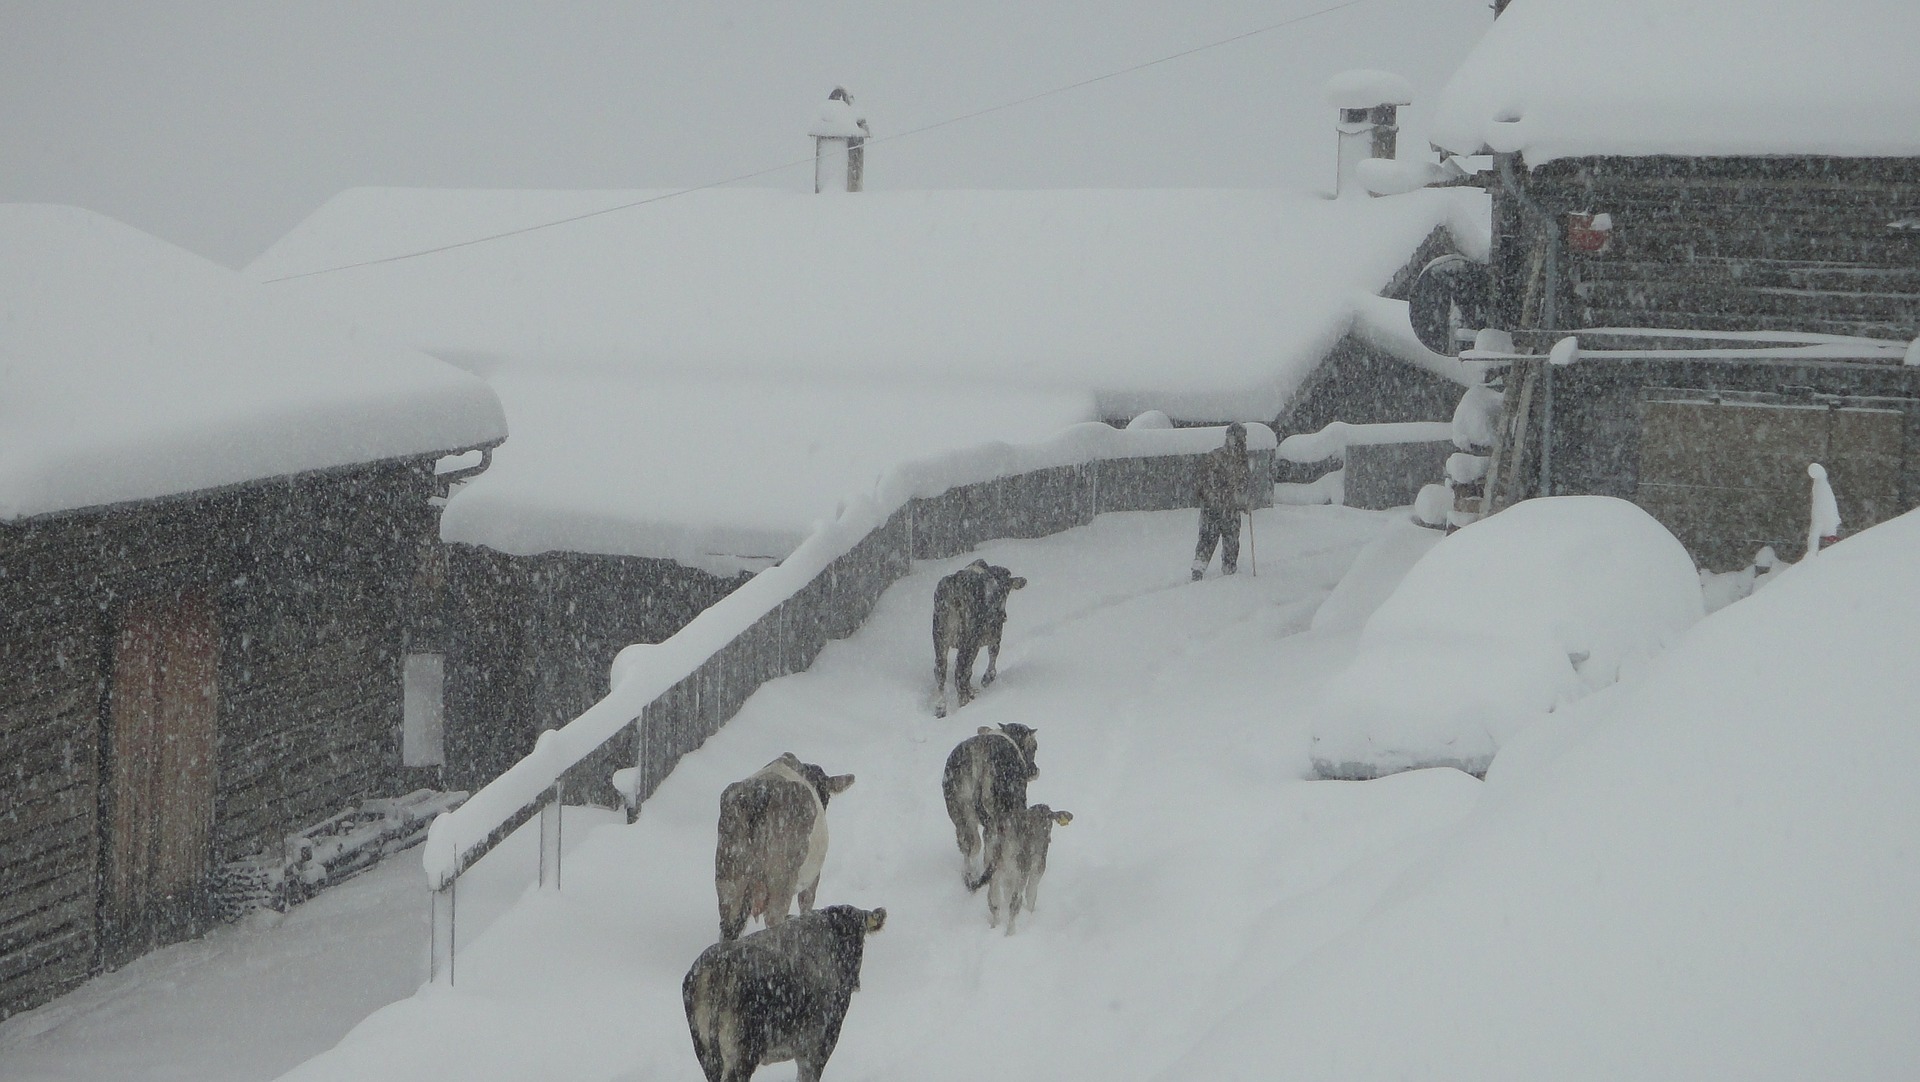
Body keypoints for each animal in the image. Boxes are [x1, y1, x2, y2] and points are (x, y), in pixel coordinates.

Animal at [683, 905, 883, 1082]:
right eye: (859, 937)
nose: (855, 982)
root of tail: (719, 964)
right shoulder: (818, 1046)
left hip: (706, 1054)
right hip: (742, 1056)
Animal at [721, 755, 856, 943]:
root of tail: (760, 795)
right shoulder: (812, 877)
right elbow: (806, 903)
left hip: (729, 877)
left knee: (728, 927)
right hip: (780, 879)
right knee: (774, 920)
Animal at [925, 556, 1021, 717]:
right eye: (1005, 591)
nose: (1004, 616)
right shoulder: (992, 636)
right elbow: (991, 657)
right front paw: (985, 680)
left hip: (939, 638)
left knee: (940, 670)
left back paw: (941, 708)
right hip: (968, 640)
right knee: (959, 671)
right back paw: (964, 701)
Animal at [940, 721, 1044, 890]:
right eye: (1034, 747)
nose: (1035, 771)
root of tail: (979, 758)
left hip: (959, 812)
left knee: (971, 845)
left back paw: (970, 878)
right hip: (999, 812)